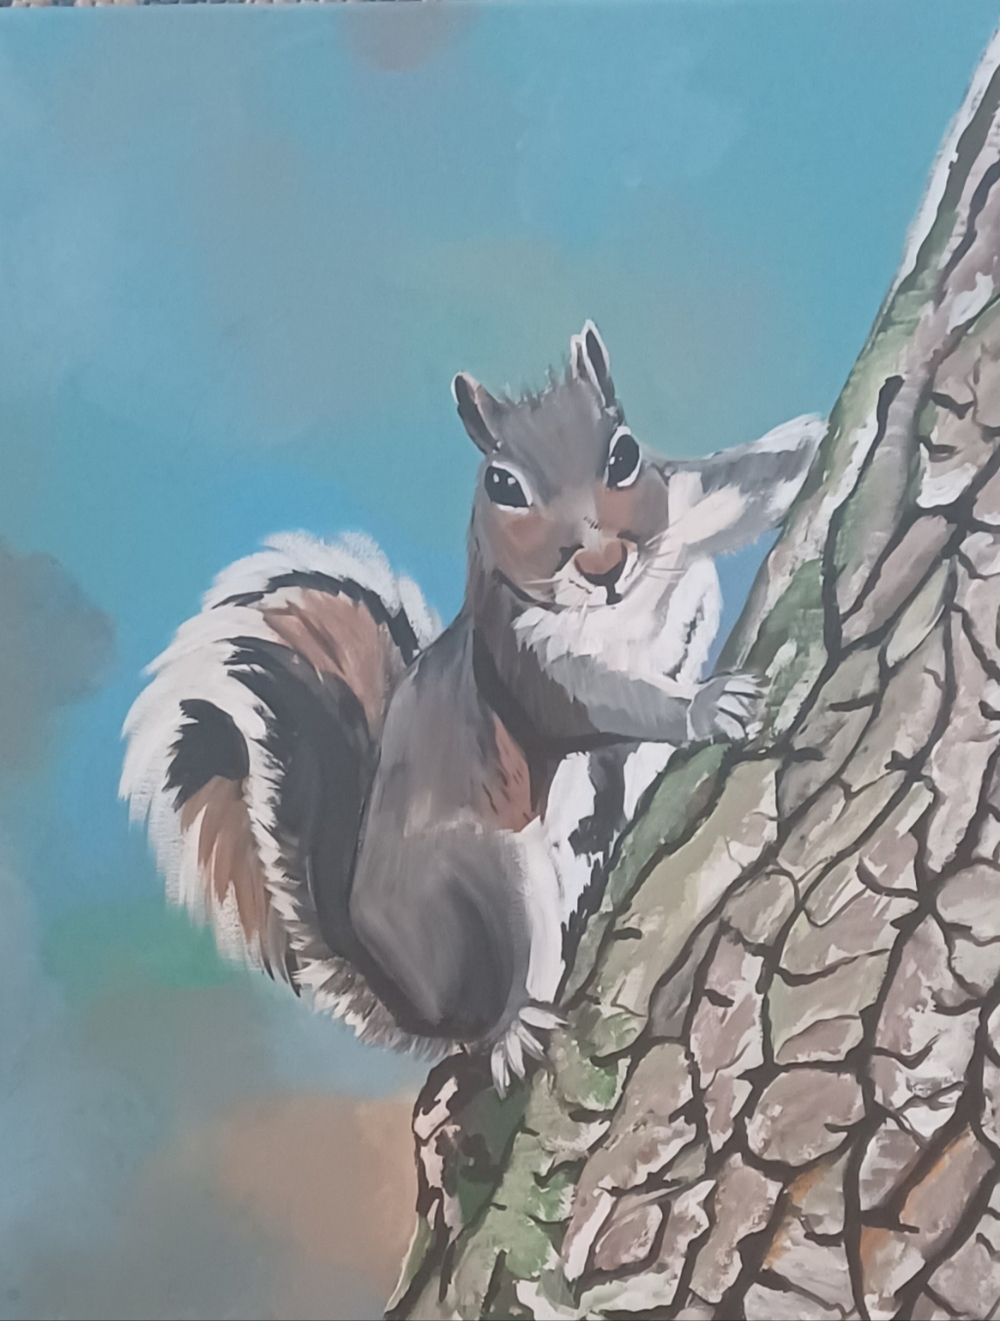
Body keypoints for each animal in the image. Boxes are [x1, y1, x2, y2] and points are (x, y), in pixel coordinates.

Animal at [120, 322, 823, 1093]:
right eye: (502, 484)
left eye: (625, 453)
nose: (603, 565)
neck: (618, 607)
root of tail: (415, 996)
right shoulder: (526, 664)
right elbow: (607, 701)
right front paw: (704, 705)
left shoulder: (688, 502)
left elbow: (754, 479)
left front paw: (821, 432)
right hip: (481, 886)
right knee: (499, 992)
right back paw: (512, 1027)